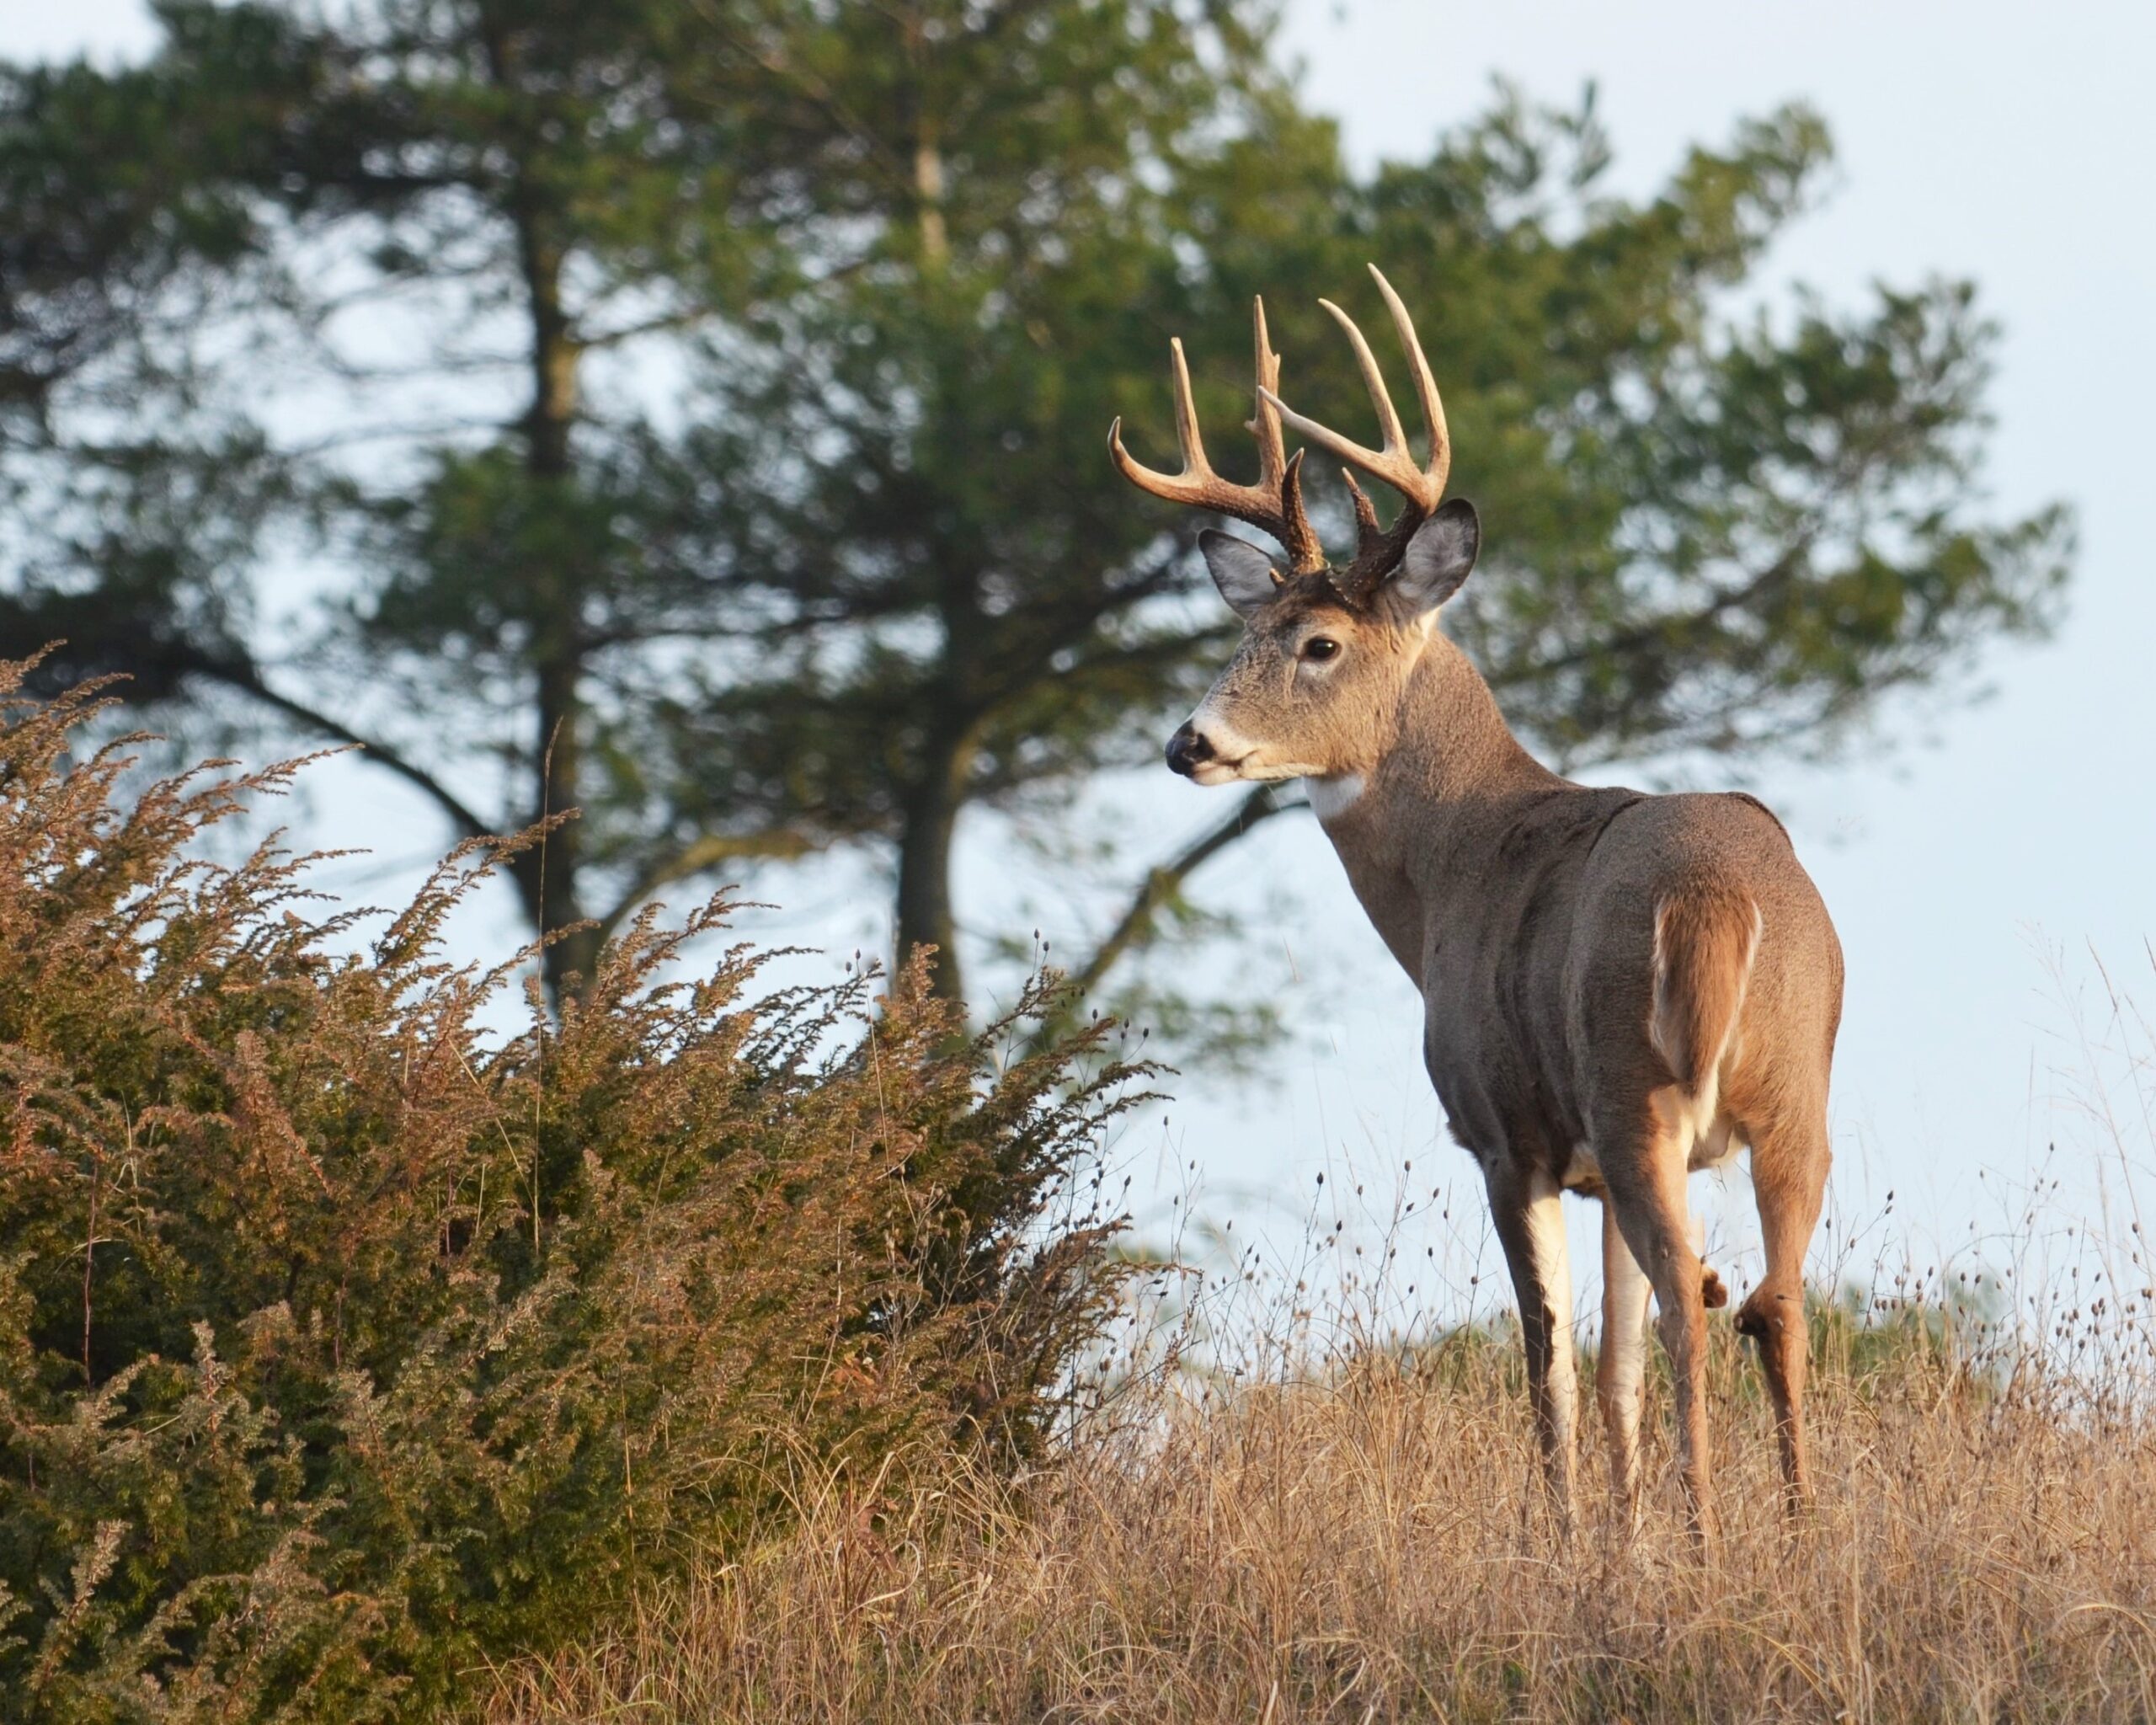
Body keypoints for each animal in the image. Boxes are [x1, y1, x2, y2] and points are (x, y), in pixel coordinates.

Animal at [1121, 270, 1845, 1535]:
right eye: (1244, 630)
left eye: (1318, 642)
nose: (1188, 742)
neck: (1455, 869)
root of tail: (1717, 900)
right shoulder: (1589, 1164)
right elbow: (1612, 1375)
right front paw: (1623, 1545)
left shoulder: (1506, 1130)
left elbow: (1549, 1358)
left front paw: (1574, 1543)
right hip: (1797, 1086)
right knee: (1773, 1301)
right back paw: (1802, 1536)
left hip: (1630, 1088)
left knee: (1690, 1303)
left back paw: (1712, 1539)